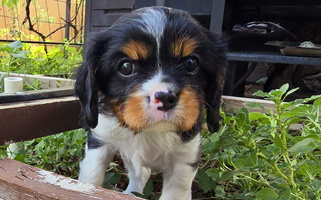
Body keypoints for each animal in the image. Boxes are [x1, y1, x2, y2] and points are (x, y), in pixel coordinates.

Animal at [75, 6, 226, 200]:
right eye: (126, 67)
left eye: (191, 63)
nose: (165, 97)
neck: (151, 131)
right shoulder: (101, 138)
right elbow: (91, 176)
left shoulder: (184, 157)